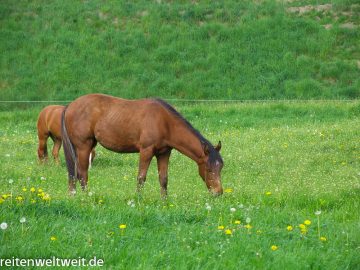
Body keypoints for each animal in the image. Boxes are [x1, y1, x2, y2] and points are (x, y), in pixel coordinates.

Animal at [62, 94, 224, 197]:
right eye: (209, 169)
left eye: (220, 168)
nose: (218, 192)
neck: (164, 122)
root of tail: (70, 106)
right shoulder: (146, 150)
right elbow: (141, 177)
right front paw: (138, 200)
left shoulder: (164, 153)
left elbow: (163, 179)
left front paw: (165, 201)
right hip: (83, 147)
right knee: (82, 174)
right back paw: (86, 197)